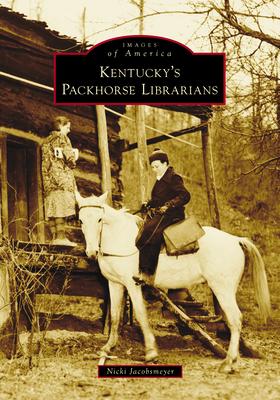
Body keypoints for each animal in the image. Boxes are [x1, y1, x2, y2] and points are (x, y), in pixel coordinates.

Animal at [75, 192, 270, 374]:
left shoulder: (132, 285)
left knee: (235, 320)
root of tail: (236, 240)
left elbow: (140, 315)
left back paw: (228, 362)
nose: (91, 252)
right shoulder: (115, 284)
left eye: (100, 219)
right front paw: (108, 348)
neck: (120, 238)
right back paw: (232, 361)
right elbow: (115, 317)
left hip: (223, 289)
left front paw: (151, 352)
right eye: (81, 220)